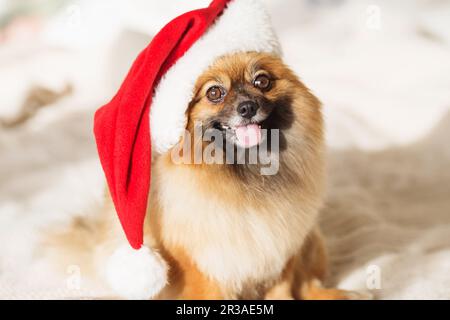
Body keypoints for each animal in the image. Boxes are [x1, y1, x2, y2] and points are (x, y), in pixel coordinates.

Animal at [48, 50, 370, 300]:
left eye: (262, 81)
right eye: (214, 93)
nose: (247, 107)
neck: (245, 174)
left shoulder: (282, 248)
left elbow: (286, 289)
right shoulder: (203, 262)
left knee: (310, 283)